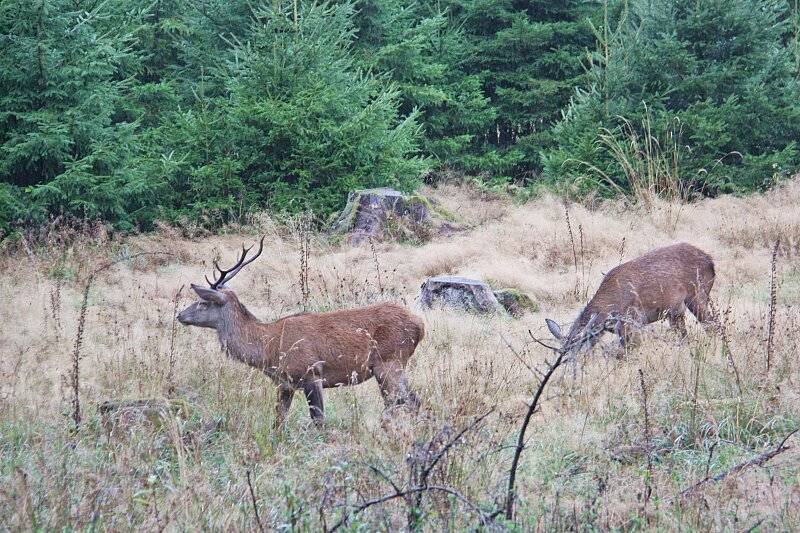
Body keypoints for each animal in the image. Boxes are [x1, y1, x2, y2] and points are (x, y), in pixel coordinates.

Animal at [176, 236, 424, 424]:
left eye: (203, 302)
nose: (179, 315)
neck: (269, 348)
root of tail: (419, 325)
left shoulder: (311, 372)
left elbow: (318, 420)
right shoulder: (285, 384)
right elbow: (278, 419)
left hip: (389, 361)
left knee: (403, 402)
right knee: (408, 401)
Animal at [548, 242, 716, 352]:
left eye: (578, 348)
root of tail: (711, 262)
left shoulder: (631, 320)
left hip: (697, 296)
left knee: (712, 324)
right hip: (676, 311)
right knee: (685, 336)